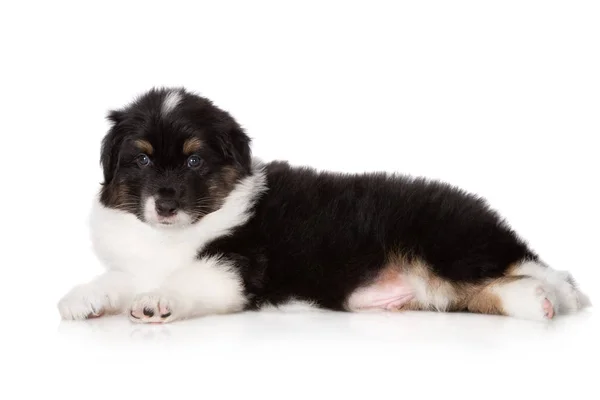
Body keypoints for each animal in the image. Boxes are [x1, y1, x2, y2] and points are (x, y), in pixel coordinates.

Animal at [58, 88, 588, 324]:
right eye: (142, 159)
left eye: (193, 160)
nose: (164, 205)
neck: (175, 235)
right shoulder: (138, 261)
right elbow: (118, 279)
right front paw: (82, 299)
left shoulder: (236, 264)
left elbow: (184, 280)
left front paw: (156, 302)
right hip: (437, 286)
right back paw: (536, 302)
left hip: (448, 241)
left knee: (538, 270)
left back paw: (558, 295)